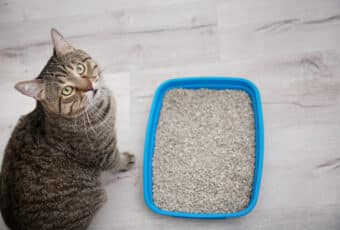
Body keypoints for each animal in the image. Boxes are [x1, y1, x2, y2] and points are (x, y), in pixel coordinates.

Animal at [0, 28, 135, 230]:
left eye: (80, 68)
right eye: (67, 91)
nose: (90, 87)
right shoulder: (104, 153)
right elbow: (116, 161)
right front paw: (125, 161)